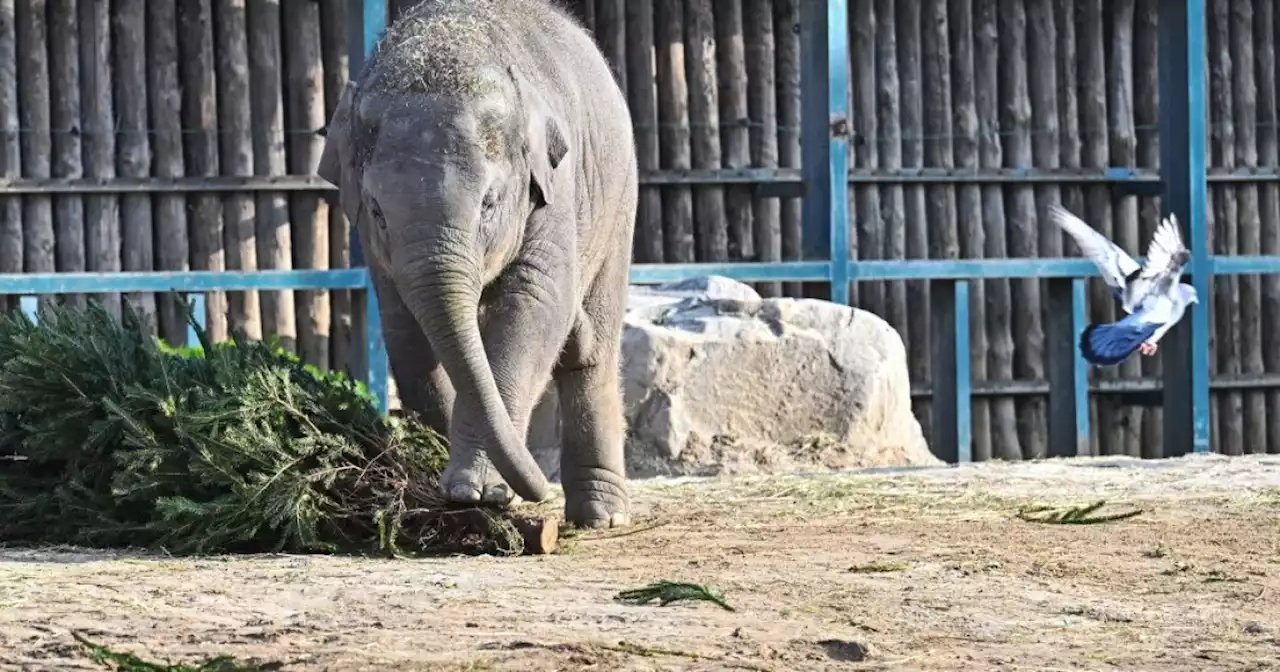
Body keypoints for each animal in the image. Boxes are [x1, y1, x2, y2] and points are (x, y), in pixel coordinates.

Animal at [317, 0, 637, 527]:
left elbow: (532, 307)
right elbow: (407, 332)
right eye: (378, 211)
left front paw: (478, 491)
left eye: (489, 203)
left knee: (592, 353)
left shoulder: (553, 188)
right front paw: (450, 483)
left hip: (619, 201)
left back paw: (601, 517)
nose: (539, 490)